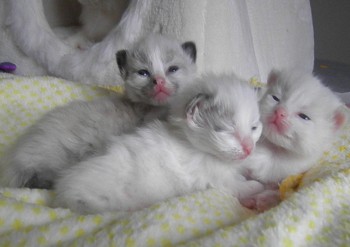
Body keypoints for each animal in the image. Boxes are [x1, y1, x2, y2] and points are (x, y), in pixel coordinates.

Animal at [53, 73, 264, 214]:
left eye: (254, 127)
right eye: (225, 130)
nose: (248, 148)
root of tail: (64, 190)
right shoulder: (215, 179)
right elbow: (238, 185)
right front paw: (256, 188)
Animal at [239, 68, 346, 211]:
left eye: (304, 116)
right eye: (275, 98)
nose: (280, 112)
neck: (275, 150)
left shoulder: (290, 176)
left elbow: (278, 192)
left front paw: (262, 199)